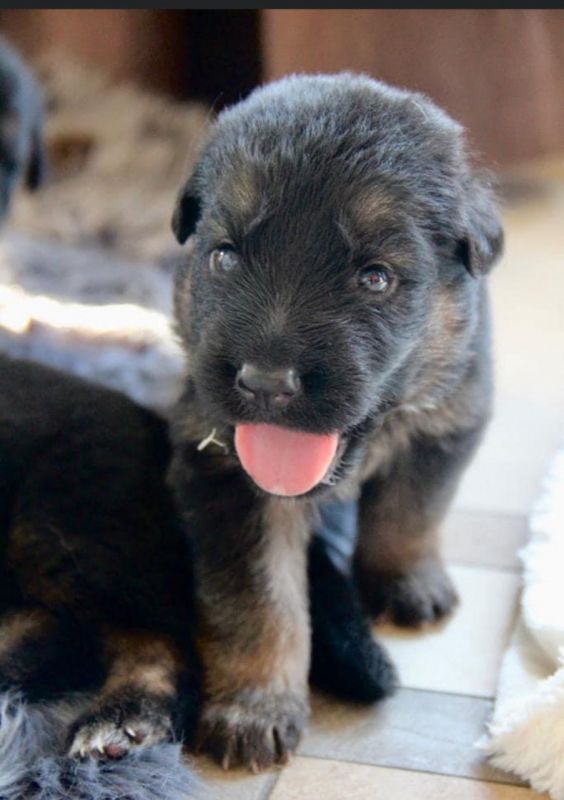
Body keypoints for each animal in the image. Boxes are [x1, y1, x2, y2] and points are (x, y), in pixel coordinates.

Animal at [169, 73, 504, 768]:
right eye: (224, 257)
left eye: (375, 278)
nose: (266, 383)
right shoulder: (225, 476)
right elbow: (260, 599)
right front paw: (256, 706)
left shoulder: (449, 420)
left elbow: (411, 513)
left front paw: (407, 581)